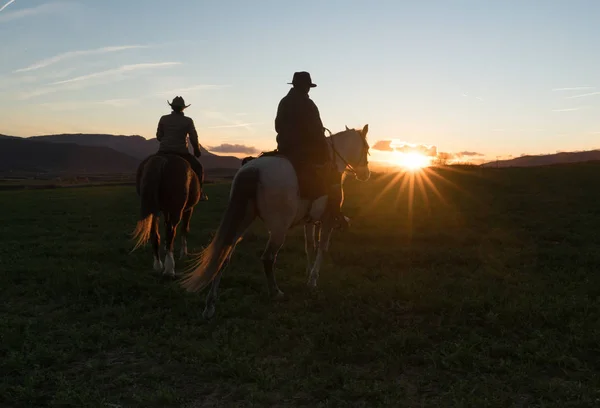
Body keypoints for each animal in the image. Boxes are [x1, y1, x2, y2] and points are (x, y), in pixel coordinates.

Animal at [180, 124, 370, 318]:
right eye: (367, 149)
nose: (365, 174)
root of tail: (253, 170)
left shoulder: (309, 221)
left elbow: (310, 246)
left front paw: (308, 274)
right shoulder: (328, 221)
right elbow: (322, 248)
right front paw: (313, 280)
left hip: (241, 221)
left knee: (223, 257)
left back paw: (210, 305)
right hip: (278, 229)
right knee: (268, 257)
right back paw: (275, 292)